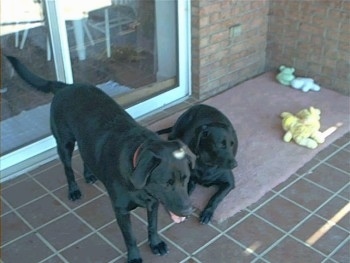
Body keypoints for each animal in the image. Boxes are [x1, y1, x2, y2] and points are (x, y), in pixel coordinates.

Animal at [7, 56, 197, 263]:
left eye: (186, 179)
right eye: (165, 184)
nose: (188, 212)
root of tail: (66, 86)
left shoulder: (153, 202)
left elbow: (152, 226)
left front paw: (155, 244)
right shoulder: (121, 210)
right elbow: (130, 237)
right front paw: (134, 257)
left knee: (85, 155)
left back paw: (89, 174)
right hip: (64, 142)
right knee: (67, 168)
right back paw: (73, 190)